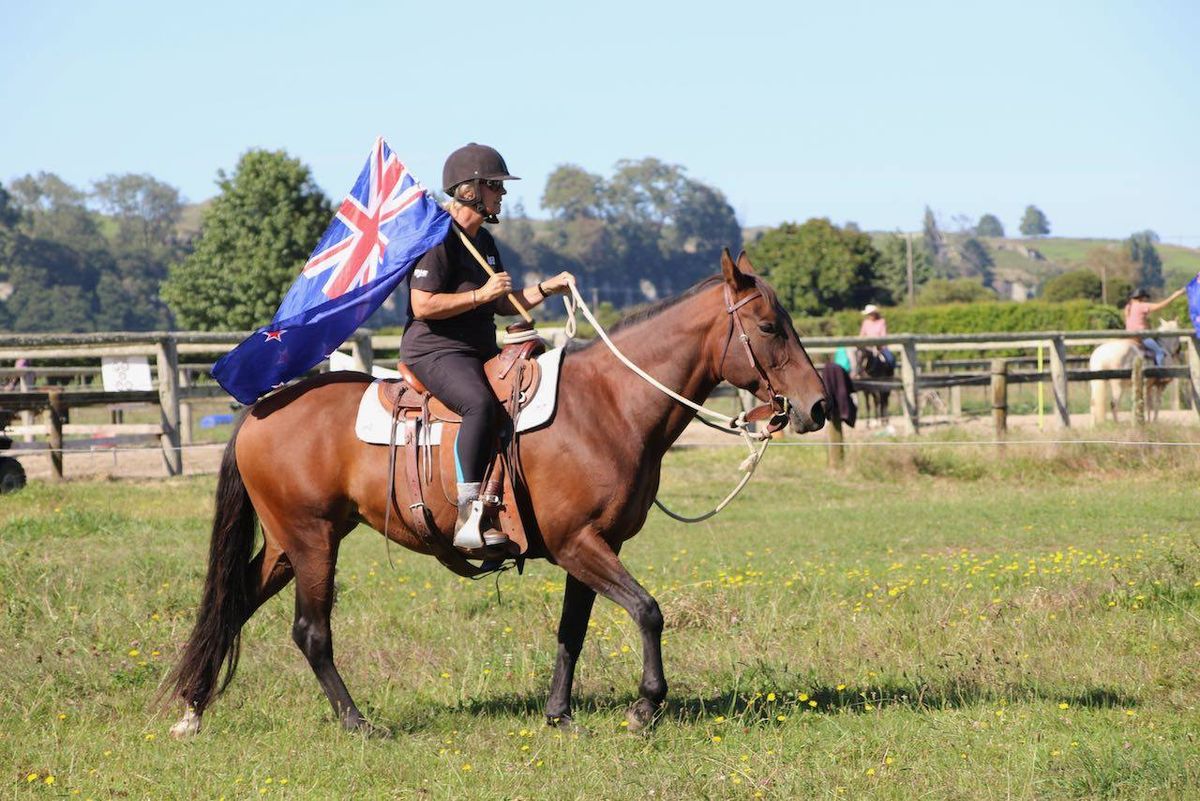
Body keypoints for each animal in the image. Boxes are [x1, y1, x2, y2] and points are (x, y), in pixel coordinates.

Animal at [164, 250, 830, 738]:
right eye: (768, 326)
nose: (818, 406)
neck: (608, 405)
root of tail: (260, 409)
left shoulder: (592, 546)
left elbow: (572, 630)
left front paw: (559, 714)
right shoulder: (579, 543)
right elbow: (647, 611)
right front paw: (645, 707)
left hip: (287, 544)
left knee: (234, 604)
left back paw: (193, 709)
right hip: (312, 541)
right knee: (311, 631)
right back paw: (357, 722)